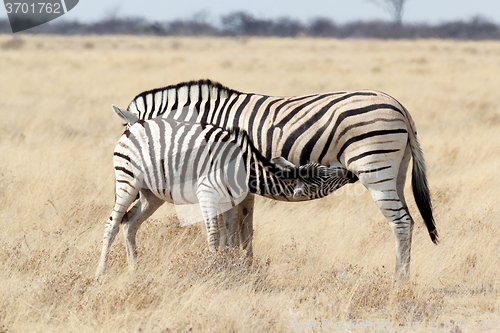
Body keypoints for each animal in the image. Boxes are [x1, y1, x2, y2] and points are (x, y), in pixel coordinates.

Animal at [95, 118, 350, 276]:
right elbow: (216, 236)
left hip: (152, 194)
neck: (244, 169)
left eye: (324, 170)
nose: (350, 173)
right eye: (323, 180)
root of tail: (134, 126)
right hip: (128, 180)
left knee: (130, 224)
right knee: (112, 224)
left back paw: (134, 270)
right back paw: (101, 273)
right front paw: (212, 269)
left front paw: (227, 270)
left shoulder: (229, 202)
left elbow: (231, 236)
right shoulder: (207, 194)